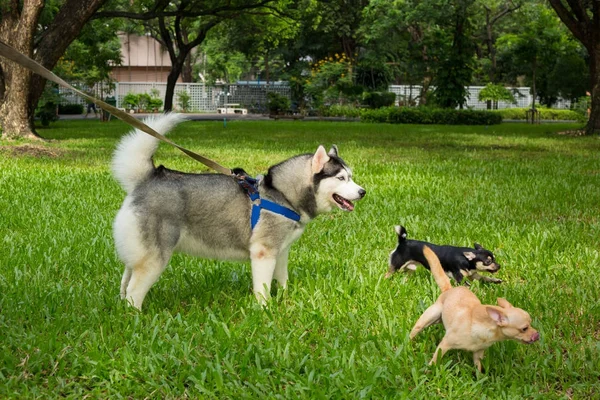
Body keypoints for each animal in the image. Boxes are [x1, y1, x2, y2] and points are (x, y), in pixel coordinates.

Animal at [112, 114, 366, 310]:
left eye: (351, 177)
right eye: (341, 178)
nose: (363, 192)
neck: (281, 194)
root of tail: (147, 178)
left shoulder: (281, 251)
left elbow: (283, 279)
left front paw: (285, 299)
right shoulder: (263, 253)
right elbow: (263, 287)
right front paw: (265, 309)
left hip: (137, 252)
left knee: (126, 280)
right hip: (155, 258)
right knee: (134, 290)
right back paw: (137, 318)